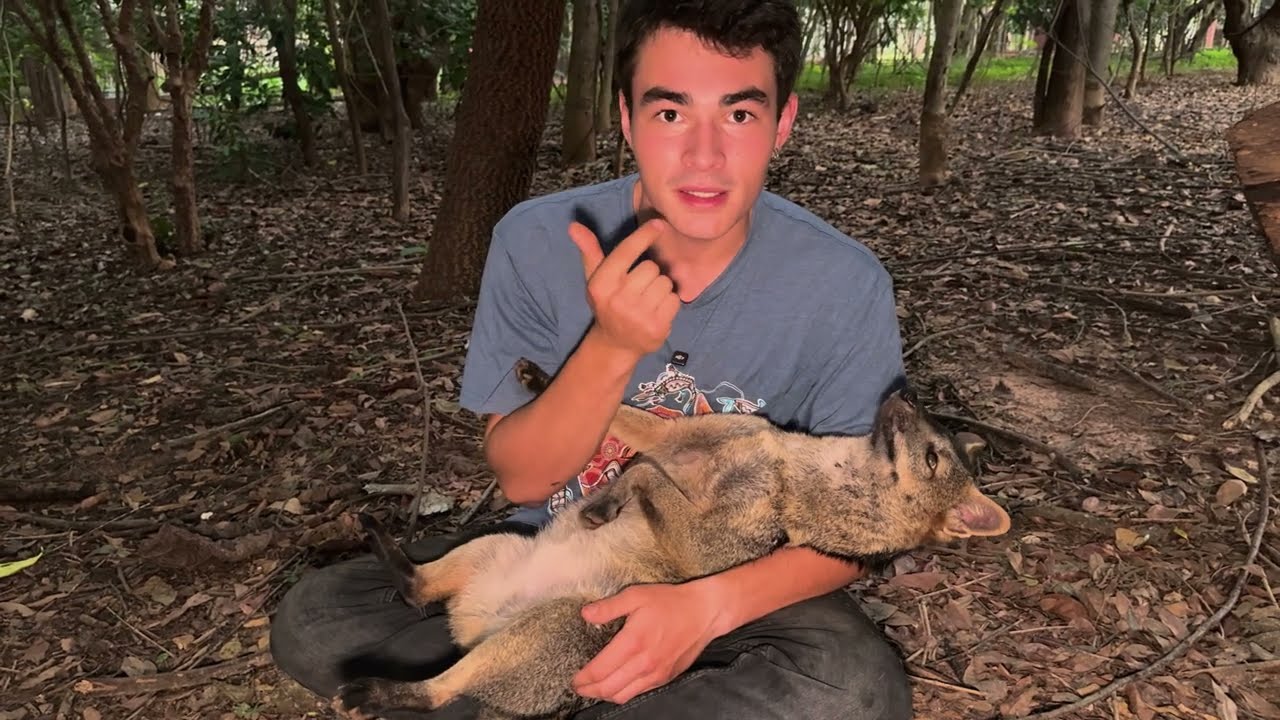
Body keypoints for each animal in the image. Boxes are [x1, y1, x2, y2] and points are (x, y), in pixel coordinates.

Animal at [336, 359, 1012, 719]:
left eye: (932, 454)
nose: (905, 391)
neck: (787, 466)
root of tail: (471, 627)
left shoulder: (697, 539)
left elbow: (647, 481)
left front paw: (609, 503)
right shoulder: (671, 440)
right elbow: (624, 430)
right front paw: (544, 381)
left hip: (553, 623)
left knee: (439, 691)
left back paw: (382, 689)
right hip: (494, 547)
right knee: (418, 591)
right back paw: (388, 552)